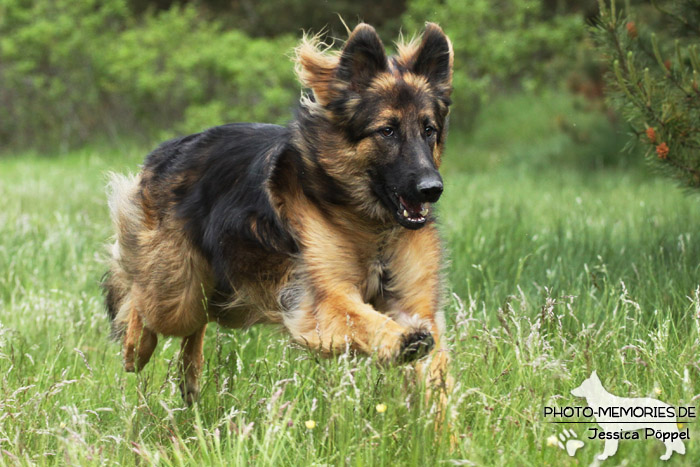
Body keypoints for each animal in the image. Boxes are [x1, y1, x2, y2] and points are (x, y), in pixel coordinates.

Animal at [102, 22, 454, 406]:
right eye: (387, 131)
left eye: (429, 130)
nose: (432, 188)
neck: (370, 223)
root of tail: (168, 150)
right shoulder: (324, 299)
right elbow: (364, 319)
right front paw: (401, 339)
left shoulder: (413, 302)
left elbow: (435, 378)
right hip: (176, 292)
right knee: (143, 299)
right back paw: (136, 349)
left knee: (196, 322)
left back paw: (190, 378)